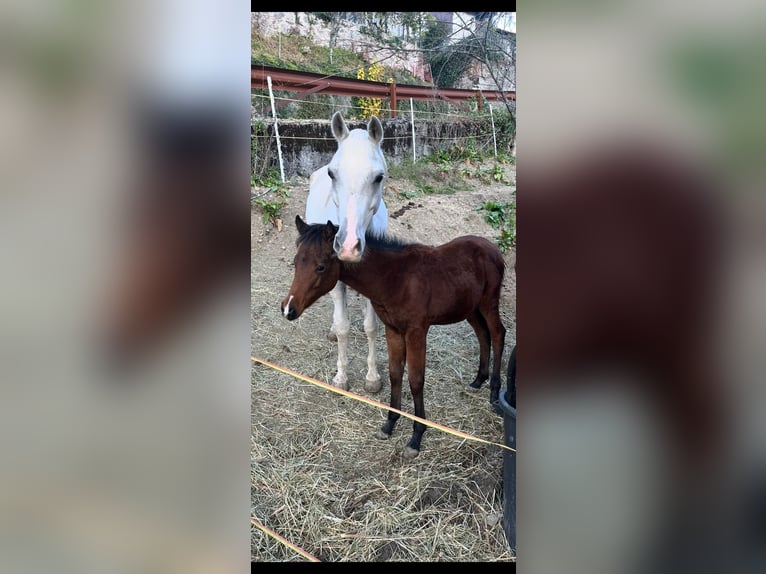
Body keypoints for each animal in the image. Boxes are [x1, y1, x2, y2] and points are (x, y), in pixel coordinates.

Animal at [281, 215, 507, 459]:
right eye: (296, 262)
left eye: (320, 266)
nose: (288, 309)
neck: (396, 278)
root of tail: (492, 247)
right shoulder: (393, 330)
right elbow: (395, 374)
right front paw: (389, 424)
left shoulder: (416, 331)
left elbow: (415, 380)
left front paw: (416, 437)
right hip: (470, 308)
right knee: (482, 335)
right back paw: (478, 380)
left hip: (488, 302)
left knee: (497, 334)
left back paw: (494, 393)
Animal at [295, 111, 389, 393]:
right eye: (332, 173)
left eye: (379, 177)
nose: (348, 247)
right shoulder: (335, 282)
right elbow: (344, 327)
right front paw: (341, 377)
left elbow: (371, 327)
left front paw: (372, 378)